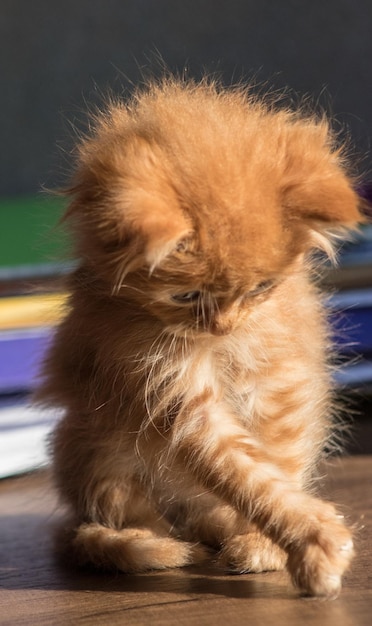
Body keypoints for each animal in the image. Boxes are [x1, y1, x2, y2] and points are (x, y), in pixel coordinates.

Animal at [37, 78, 360, 596]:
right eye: (187, 296)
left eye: (262, 288)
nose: (223, 324)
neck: (225, 345)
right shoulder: (167, 388)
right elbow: (242, 471)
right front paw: (313, 542)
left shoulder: (280, 385)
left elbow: (276, 465)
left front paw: (269, 543)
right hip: (93, 446)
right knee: (118, 520)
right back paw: (153, 544)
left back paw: (224, 531)